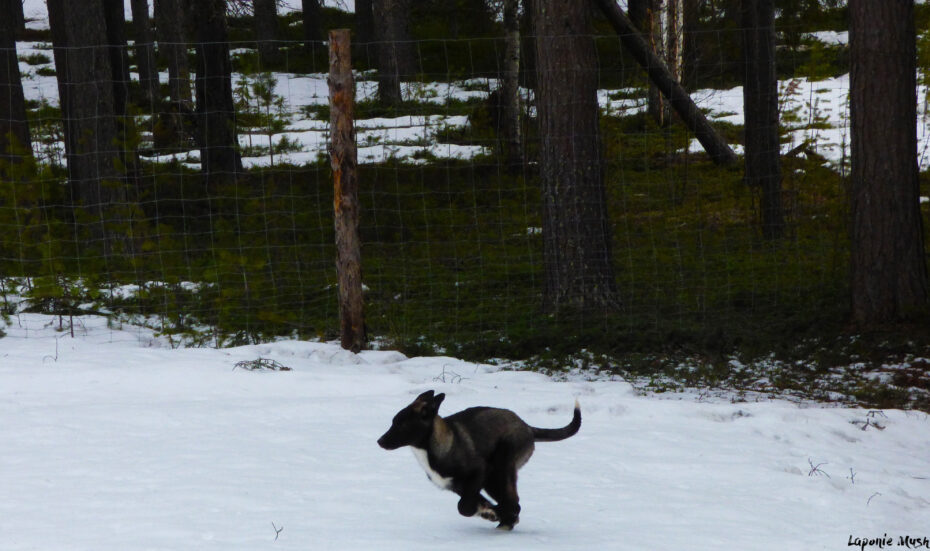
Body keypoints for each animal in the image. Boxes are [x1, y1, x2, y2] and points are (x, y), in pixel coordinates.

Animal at [374, 390, 576, 532]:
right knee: (512, 502)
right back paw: (505, 520)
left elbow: (464, 507)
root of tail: (527, 427)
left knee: (513, 502)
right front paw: (489, 511)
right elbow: (472, 503)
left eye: (401, 424)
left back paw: (506, 519)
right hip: (493, 480)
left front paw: (491, 513)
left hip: (501, 468)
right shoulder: (459, 486)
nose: (379, 441)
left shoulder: (479, 472)